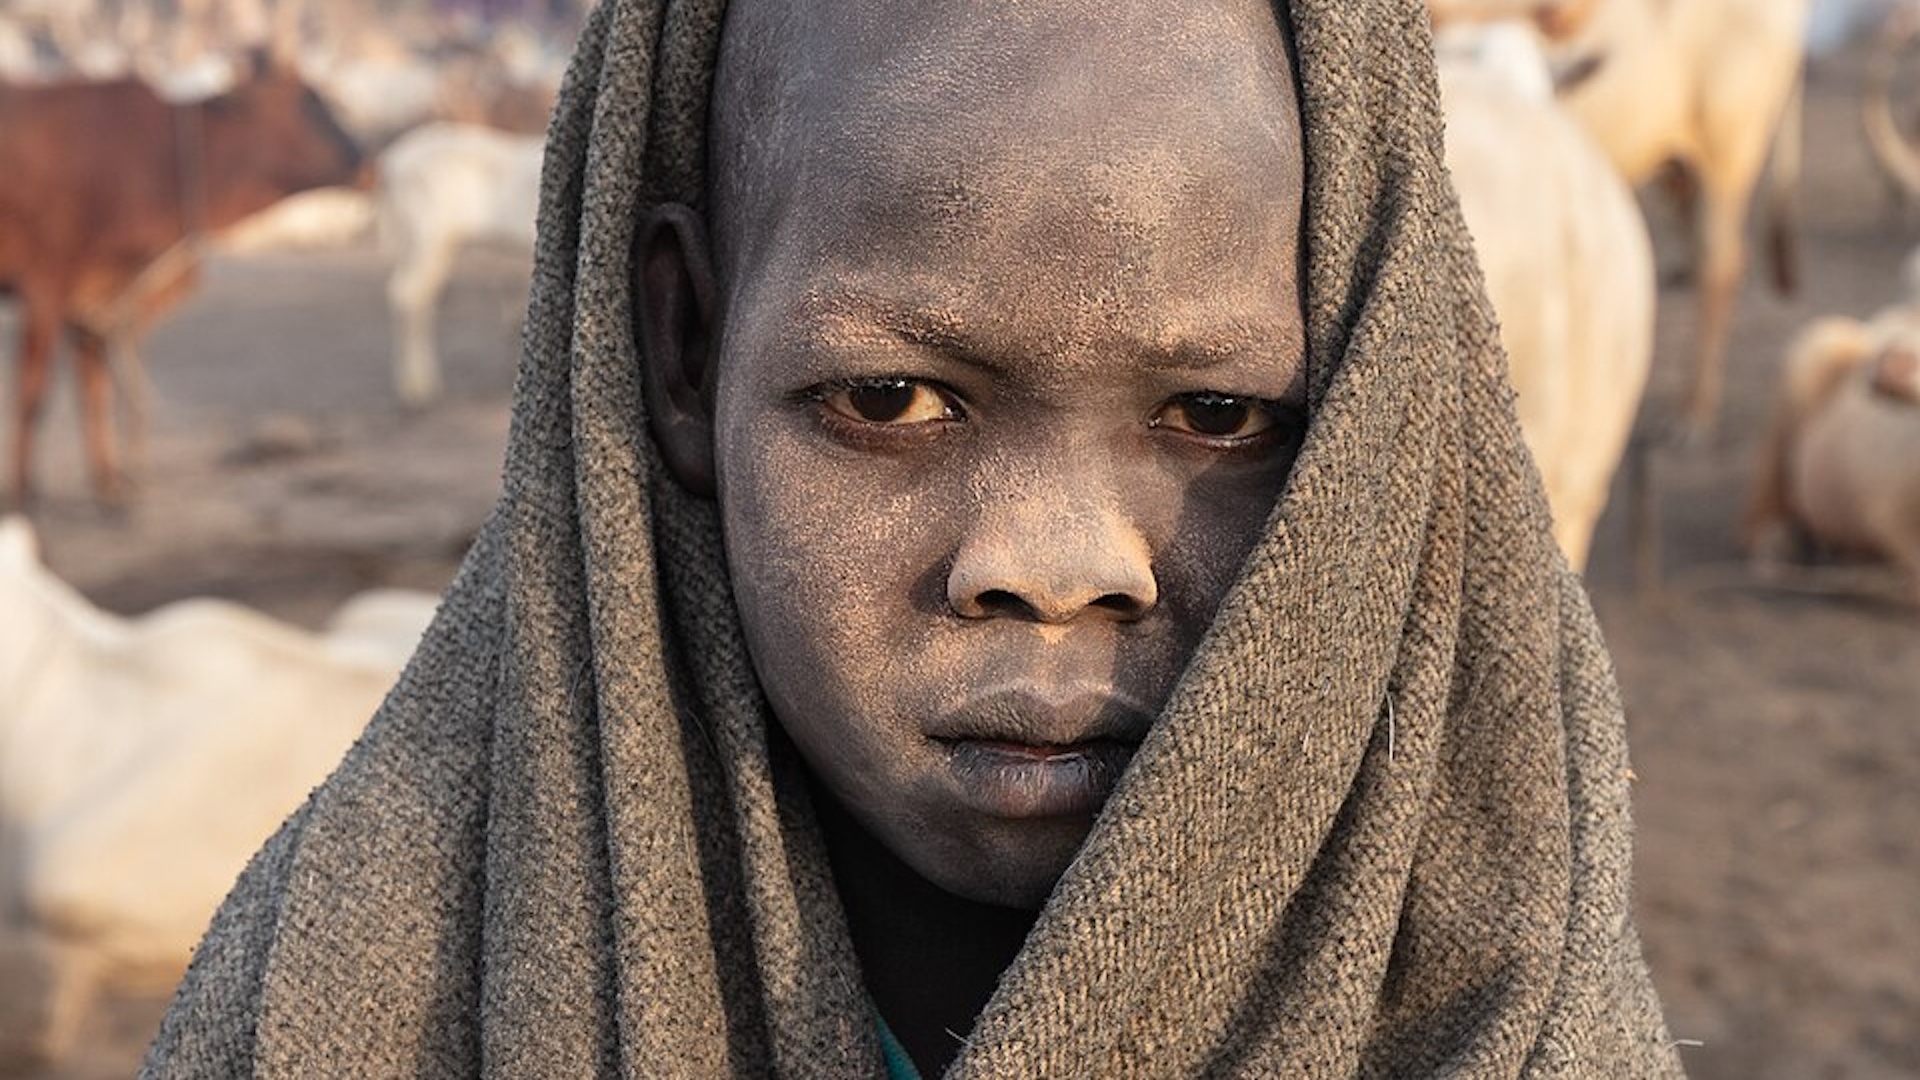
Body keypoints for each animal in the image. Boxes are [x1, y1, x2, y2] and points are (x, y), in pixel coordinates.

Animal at [0, 57, 363, 508]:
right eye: (307, 101)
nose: (367, 161)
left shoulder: (94, 298)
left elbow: (95, 389)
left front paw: (110, 485)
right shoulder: (45, 285)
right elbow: (34, 394)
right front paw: (23, 493)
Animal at [376, 121, 542, 407]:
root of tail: (392, 164)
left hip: (415, 241)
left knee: (411, 293)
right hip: (430, 237)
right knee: (409, 295)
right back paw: (418, 389)